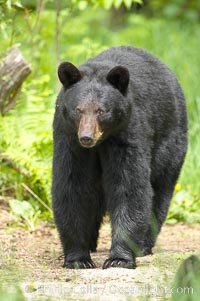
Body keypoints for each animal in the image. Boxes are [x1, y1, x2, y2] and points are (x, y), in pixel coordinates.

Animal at [52, 45, 188, 268]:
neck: (101, 142)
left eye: (101, 110)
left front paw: (119, 258)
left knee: (160, 189)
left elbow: (129, 187)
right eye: (78, 109)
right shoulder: (69, 139)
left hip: (170, 141)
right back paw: (91, 242)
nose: (86, 137)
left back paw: (143, 245)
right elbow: (73, 186)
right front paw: (78, 259)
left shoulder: (127, 135)